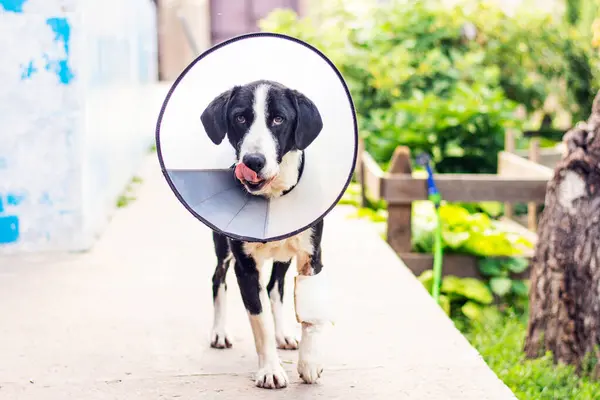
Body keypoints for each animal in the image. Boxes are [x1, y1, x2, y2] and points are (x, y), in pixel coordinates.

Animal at [204, 79, 330, 390]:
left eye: (278, 119)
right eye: (239, 118)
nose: (253, 161)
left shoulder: (312, 257)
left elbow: (308, 313)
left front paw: (310, 364)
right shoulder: (245, 267)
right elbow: (259, 322)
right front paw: (270, 370)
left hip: (284, 255)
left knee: (275, 287)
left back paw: (283, 334)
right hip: (223, 249)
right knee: (218, 278)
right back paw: (219, 332)